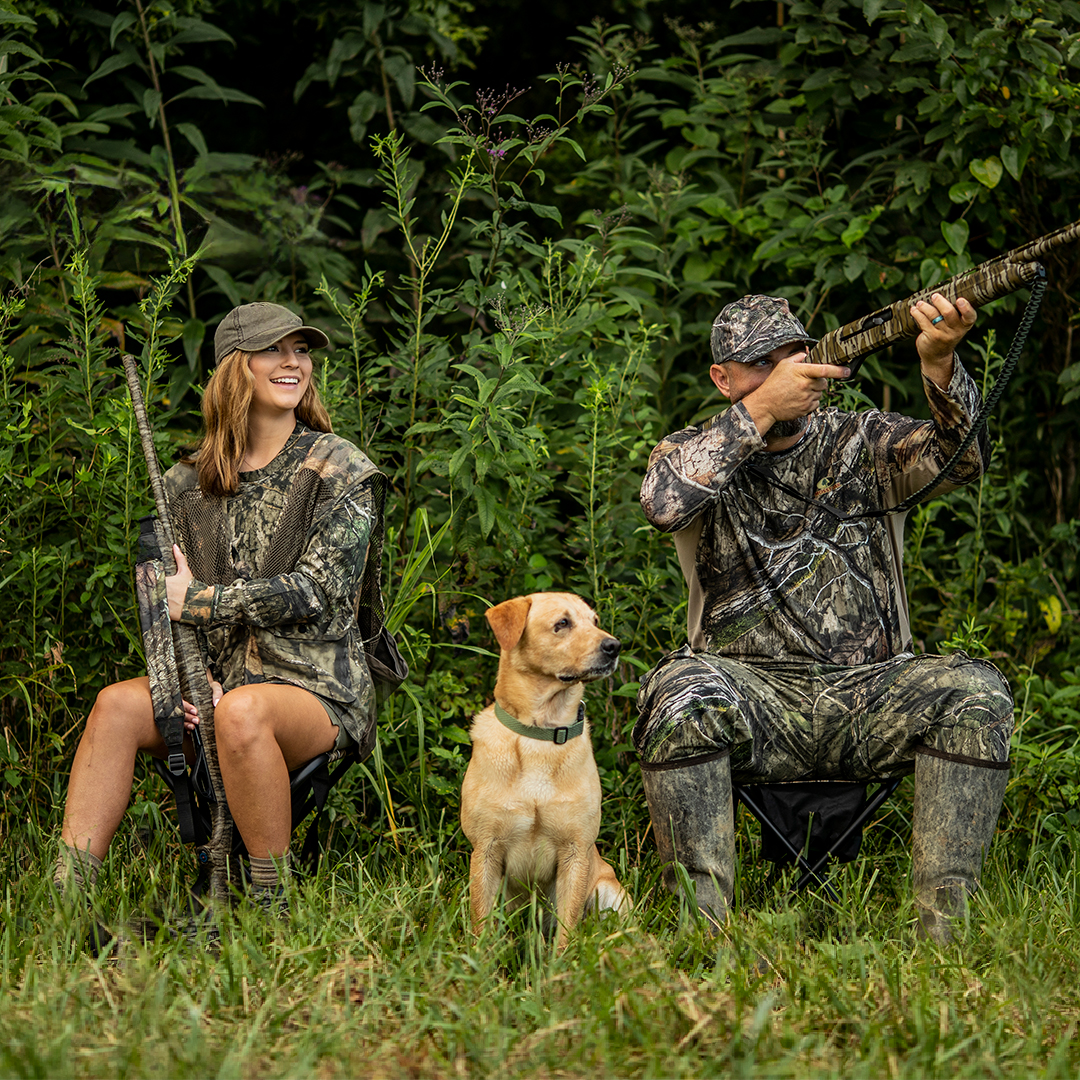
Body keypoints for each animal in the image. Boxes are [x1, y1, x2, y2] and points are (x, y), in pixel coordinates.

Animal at [457, 587, 630, 950]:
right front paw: (480, 959)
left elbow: (567, 925)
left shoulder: (576, 852)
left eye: (595, 621)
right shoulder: (486, 849)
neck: (542, 734)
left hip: (609, 892)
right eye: (562, 623)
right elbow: (482, 921)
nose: (614, 646)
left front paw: (560, 961)